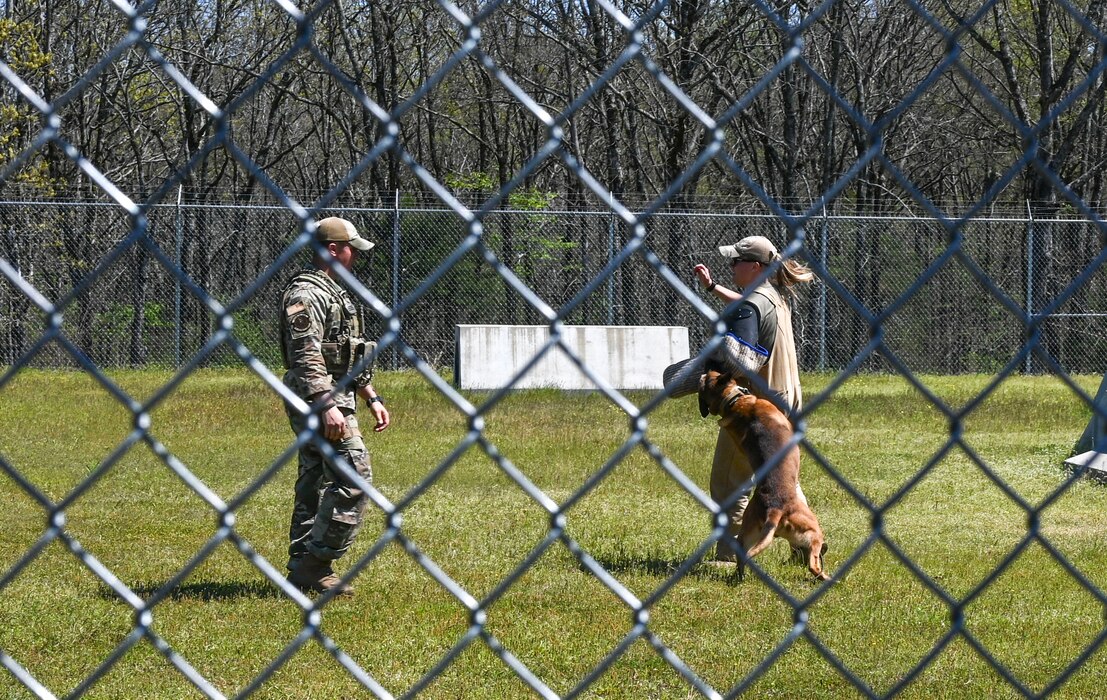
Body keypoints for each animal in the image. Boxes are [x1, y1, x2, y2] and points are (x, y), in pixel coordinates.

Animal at [699, 369, 832, 580]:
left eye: (712, 375)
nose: (705, 372)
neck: (734, 402)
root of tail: (774, 510)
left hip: (748, 532)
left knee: (742, 556)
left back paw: (739, 577)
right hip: (813, 528)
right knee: (813, 563)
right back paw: (827, 576)